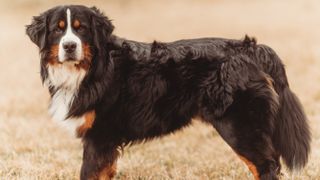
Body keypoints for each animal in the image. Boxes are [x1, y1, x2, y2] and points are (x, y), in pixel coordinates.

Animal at [26, 4, 312, 179]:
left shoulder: (99, 137)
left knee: (266, 166)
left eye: (81, 29)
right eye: (58, 30)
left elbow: (88, 173)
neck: (92, 69)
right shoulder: (104, 143)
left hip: (239, 126)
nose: (69, 46)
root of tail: (251, 48)